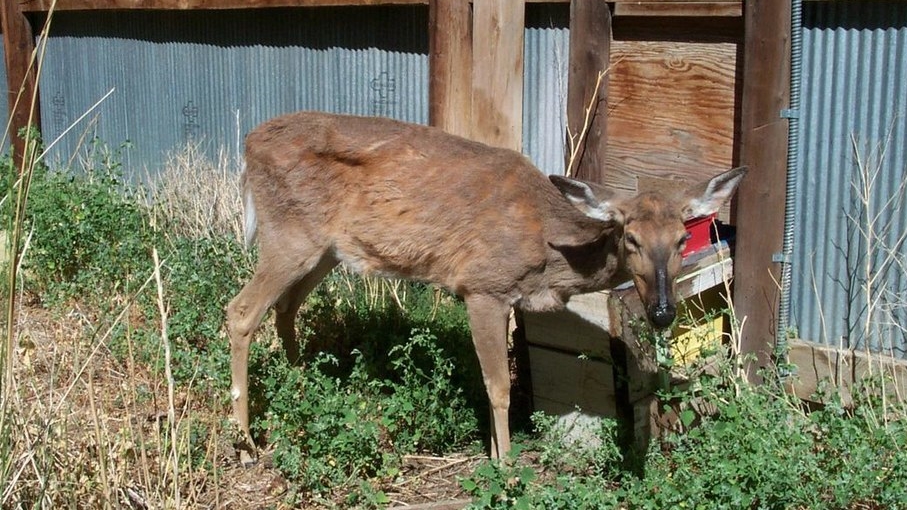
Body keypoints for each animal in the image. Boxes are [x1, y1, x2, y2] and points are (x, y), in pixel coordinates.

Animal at [226, 110, 747, 465]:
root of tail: (248, 145)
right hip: (289, 236)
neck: (548, 251)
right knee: (240, 311)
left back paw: (303, 388)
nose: (661, 312)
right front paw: (507, 466)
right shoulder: (482, 287)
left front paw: (498, 455)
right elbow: (499, 387)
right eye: (630, 237)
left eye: (682, 239)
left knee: (285, 309)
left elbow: (492, 380)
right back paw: (248, 444)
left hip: (325, 250)